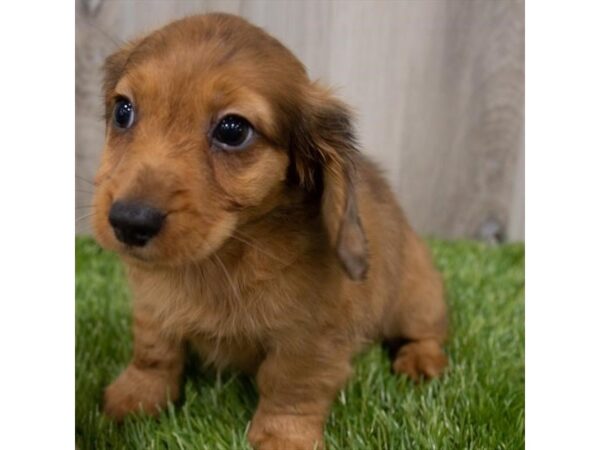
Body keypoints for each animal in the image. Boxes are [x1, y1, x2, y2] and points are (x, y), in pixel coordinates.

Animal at [92, 12, 446, 448]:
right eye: (123, 111)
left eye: (232, 130)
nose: (129, 221)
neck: (223, 257)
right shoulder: (153, 306)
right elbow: (155, 351)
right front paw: (136, 398)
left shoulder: (311, 338)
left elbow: (290, 385)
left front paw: (283, 437)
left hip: (417, 301)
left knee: (429, 334)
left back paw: (420, 360)